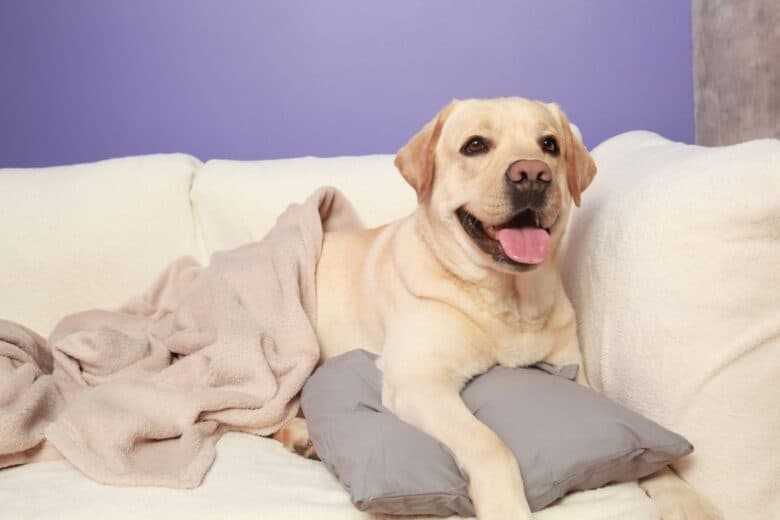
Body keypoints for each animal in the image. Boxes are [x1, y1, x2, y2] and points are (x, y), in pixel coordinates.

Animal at [274, 97, 720, 520]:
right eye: (475, 145)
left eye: (549, 145)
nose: (532, 174)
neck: (509, 301)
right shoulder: (419, 381)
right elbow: (490, 445)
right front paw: (508, 507)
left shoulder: (577, 375)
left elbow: (651, 453)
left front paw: (683, 497)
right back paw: (300, 435)